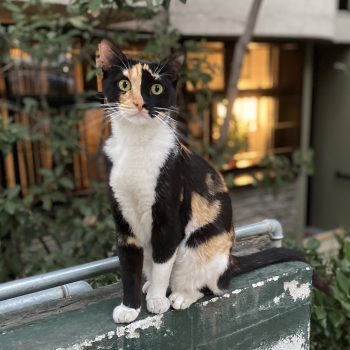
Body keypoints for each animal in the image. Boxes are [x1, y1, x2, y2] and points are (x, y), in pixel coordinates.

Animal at [98, 39, 308, 324]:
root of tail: (229, 263)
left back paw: (179, 295)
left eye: (156, 88)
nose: (141, 104)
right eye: (124, 84)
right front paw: (130, 307)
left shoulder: (169, 219)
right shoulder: (123, 221)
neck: (136, 146)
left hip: (202, 248)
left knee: (211, 287)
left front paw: (157, 300)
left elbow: (163, 263)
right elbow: (129, 267)